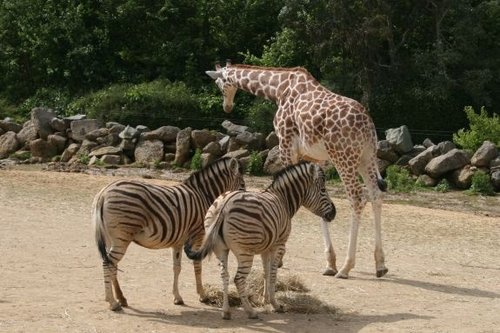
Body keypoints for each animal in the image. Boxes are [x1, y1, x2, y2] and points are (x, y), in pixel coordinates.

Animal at [92, 157, 246, 310]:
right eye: (243, 183)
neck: (203, 194)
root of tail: (104, 192)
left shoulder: (178, 241)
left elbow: (176, 268)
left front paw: (177, 297)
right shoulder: (198, 235)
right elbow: (197, 265)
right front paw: (202, 295)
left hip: (111, 238)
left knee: (112, 265)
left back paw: (121, 298)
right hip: (121, 237)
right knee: (108, 264)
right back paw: (112, 302)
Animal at [184, 161, 336, 320]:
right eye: (323, 190)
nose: (334, 213)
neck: (283, 199)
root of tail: (224, 205)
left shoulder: (266, 247)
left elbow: (266, 271)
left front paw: (265, 299)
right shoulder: (279, 245)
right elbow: (273, 274)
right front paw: (275, 304)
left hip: (220, 249)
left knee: (224, 275)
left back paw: (226, 312)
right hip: (245, 252)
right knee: (238, 279)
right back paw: (250, 311)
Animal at [205, 60, 388, 278]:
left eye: (219, 84)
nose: (227, 106)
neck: (278, 89)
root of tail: (368, 125)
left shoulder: (286, 146)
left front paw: (280, 257)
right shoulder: (315, 156)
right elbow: (319, 200)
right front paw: (330, 262)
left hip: (344, 157)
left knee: (358, 198)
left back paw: (346, 267)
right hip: (366, 158)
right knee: (376, 194)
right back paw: (380, 264)